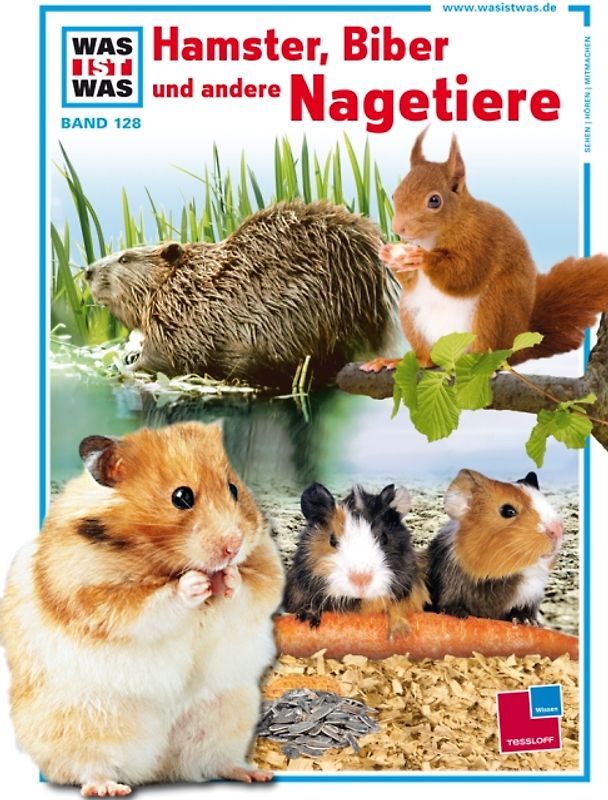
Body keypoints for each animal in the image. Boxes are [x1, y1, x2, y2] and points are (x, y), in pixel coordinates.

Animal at [0, 422, 284, 796]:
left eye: (234, 489)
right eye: (181, 497)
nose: (232, 547)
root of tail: (155, 770)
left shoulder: (267, 568)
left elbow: (257, 587)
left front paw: (229, 578)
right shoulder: (94, 595)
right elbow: (152, 602)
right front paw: (196, 583)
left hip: (227, 711)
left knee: (213, 760)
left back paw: (254, 774)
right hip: (82, 722)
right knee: (88, 766)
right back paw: (108, 787)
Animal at [283, 482, 429, 637]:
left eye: (384, 538)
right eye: (332, 540)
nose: (361, 579)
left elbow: (398, 607)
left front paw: (400, 635)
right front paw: (306, 620)